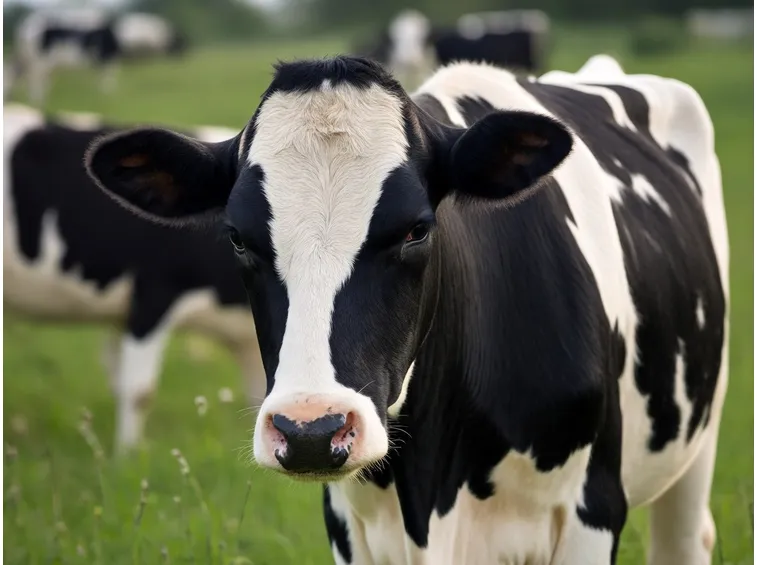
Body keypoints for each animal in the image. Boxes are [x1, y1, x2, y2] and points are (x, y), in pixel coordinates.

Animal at [12, 8, 186, 105]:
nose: (182, 53)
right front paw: (107, 95)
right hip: (39, 61)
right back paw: (38, 101)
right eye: (177, 39)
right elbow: (107, 79)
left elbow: (102, 78)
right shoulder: (106, 58)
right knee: (35, 81)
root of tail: (27, 25)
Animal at [85, 54, 728, 564]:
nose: (311, 429)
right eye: (238, 238)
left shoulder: (590, 510)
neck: (432, 492)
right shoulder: (351, 526)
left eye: (418, 229)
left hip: (697, 440)